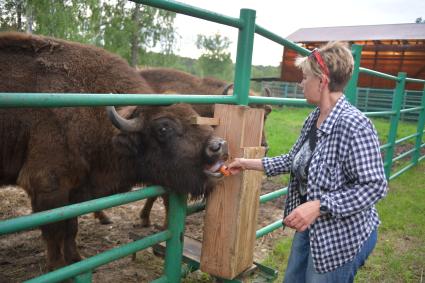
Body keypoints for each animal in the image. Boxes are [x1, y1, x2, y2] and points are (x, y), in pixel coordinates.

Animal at [0, 32, 229, 272]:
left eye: (195, 114)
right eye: (163, 128)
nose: (219, 146)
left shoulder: (75, 191)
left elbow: (71, 228)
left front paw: (76, 259)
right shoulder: (48, 188)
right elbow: (54, 232)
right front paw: (59, 268)